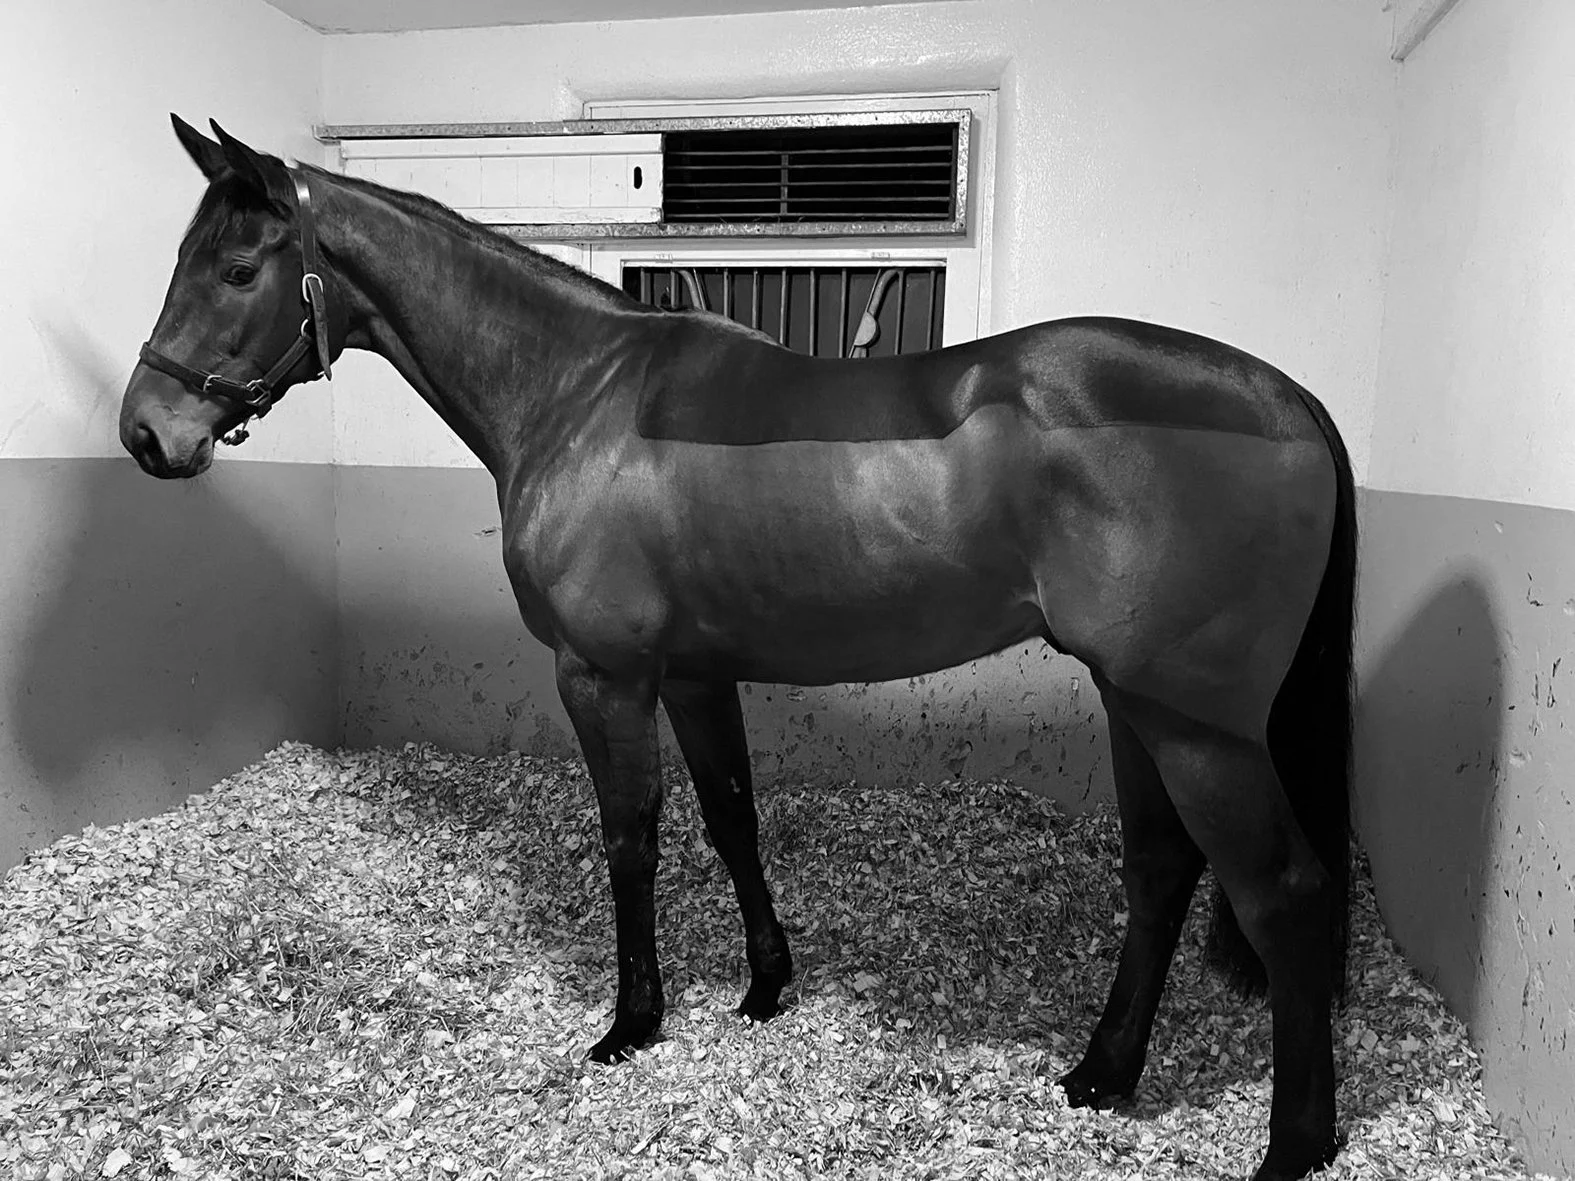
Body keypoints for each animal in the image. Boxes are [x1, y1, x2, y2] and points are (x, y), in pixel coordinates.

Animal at [119, 116, 1357, 1181]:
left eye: (238, 270)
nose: (145, 431)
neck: (579, 394)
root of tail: (1288, 397)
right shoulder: (698, 673)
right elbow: (730, 818)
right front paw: (765, 985)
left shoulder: (604, 676)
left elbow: (632, 838)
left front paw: (632, 1020)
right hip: (1138, 704)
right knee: (1161, 871)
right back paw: (1102, 1072)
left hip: (1197, 727)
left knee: (1283, 890)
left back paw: (1294, 1143)